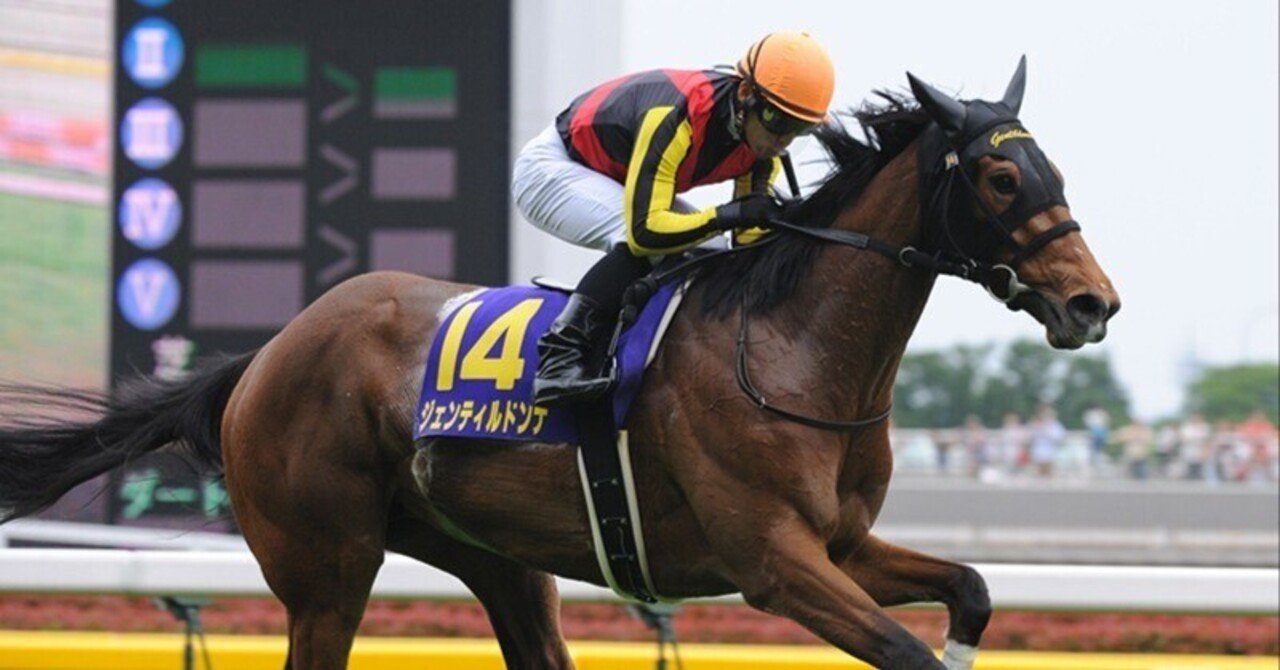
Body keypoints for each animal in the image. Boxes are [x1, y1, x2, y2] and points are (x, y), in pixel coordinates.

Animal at [0, 59, 1118, 669]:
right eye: (1001, 176)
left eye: (1054, 167)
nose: (1091, 302)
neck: (791, 347)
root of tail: (267, 355)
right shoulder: (770, 559)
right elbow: (898, 647)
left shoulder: (840, 545)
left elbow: (970, 591)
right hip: (325, 568)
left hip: (495, 554)